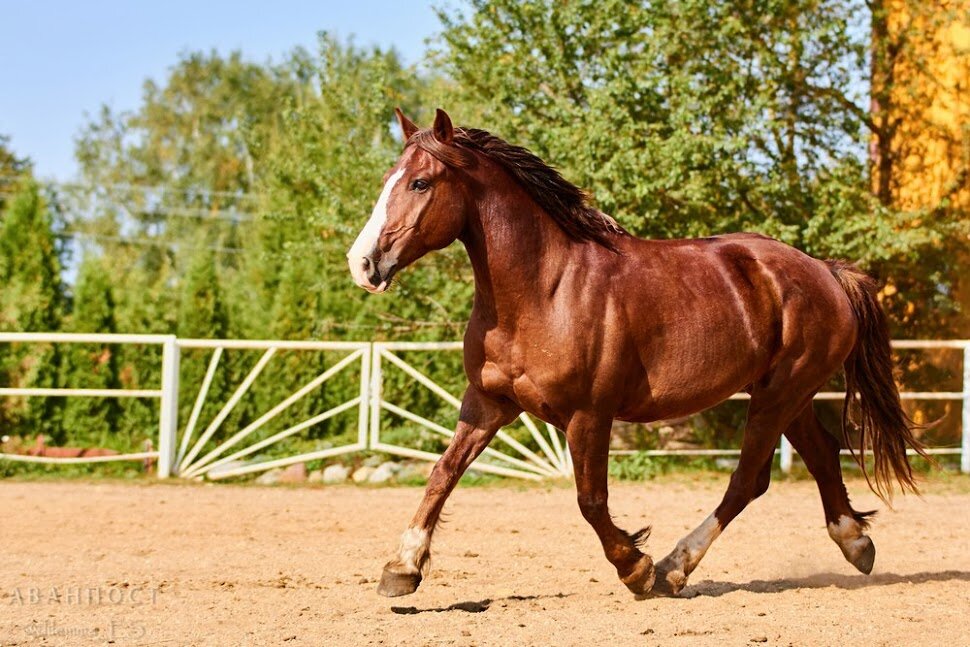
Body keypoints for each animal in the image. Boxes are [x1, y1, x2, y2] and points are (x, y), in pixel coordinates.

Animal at [346, 106, 924, 596]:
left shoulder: (588, 416)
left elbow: (590, 500)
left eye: (420, 182)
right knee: (819, 455)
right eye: (387, 180)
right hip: (786, 395)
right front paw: (402, 569)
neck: (544, 290)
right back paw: (856, 543)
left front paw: (635, 566)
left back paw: (673, 567)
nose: (363, 263)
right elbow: (442, 474)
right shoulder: (488, 403)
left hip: (780, 394)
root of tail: (825, 270)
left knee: (747, 480)